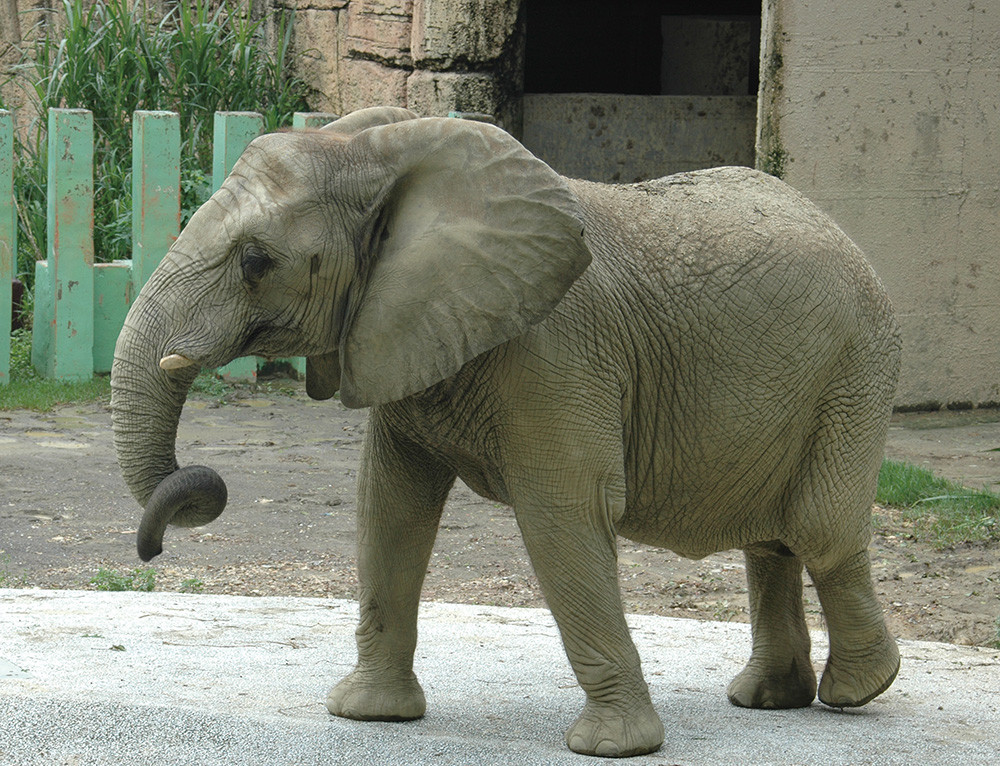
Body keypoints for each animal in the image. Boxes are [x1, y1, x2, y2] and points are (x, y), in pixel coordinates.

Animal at [111, 106, 901, 758]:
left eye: (255, 261)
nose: (157, 545)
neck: (379, 151)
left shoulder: (557, 350)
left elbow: (564, 513)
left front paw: (612, 747)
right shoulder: (405, 326)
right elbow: (388, 505)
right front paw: (367, 716)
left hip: (856, 371)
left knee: (821, 532)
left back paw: (857, 692)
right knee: (772, 542)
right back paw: (768, 699)